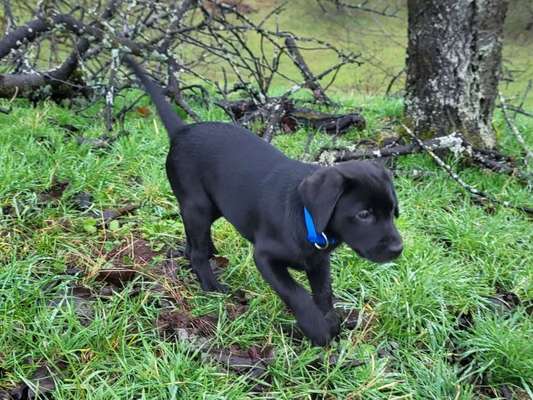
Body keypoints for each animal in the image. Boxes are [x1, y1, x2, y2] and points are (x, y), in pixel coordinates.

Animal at [124, 57, 400, 346]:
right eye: (364, 214)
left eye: (393, 211)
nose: (398, 249)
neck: (306, 218)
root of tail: (182, 130)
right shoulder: (265, 257)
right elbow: (296, 293)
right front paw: (316, 328)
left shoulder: (318, 262)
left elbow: (324, 293)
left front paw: (331, 323)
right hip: (198, 205)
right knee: (197, 248)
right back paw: (211, 286)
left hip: (214, 205)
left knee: (194, 237)